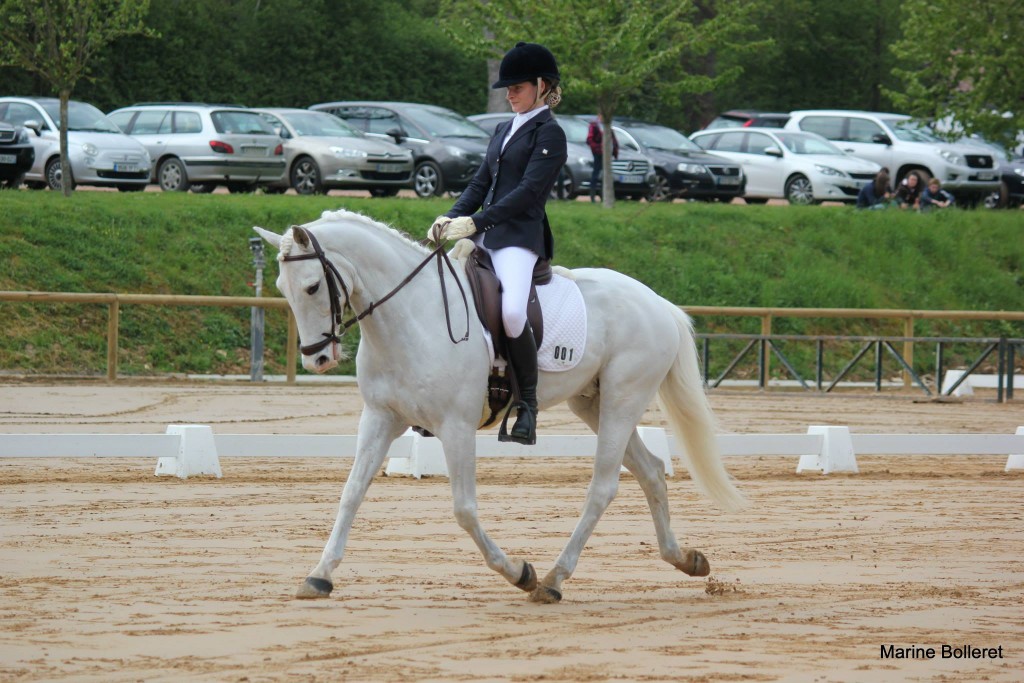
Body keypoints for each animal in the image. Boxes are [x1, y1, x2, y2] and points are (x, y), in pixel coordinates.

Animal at [251, 209, 741, 602]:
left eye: (312, 286)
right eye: (281, 287)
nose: (316, 359)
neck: (411, 316)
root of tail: (656, 301)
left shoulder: (455, 426)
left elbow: (464, 510)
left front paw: (519, 572)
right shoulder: (380, 419)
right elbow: (351, 493)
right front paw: (319, 575)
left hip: (624, 397)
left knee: (604, 487)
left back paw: (552, 580)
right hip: (593, 402)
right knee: (652, 471)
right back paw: (685, 559)